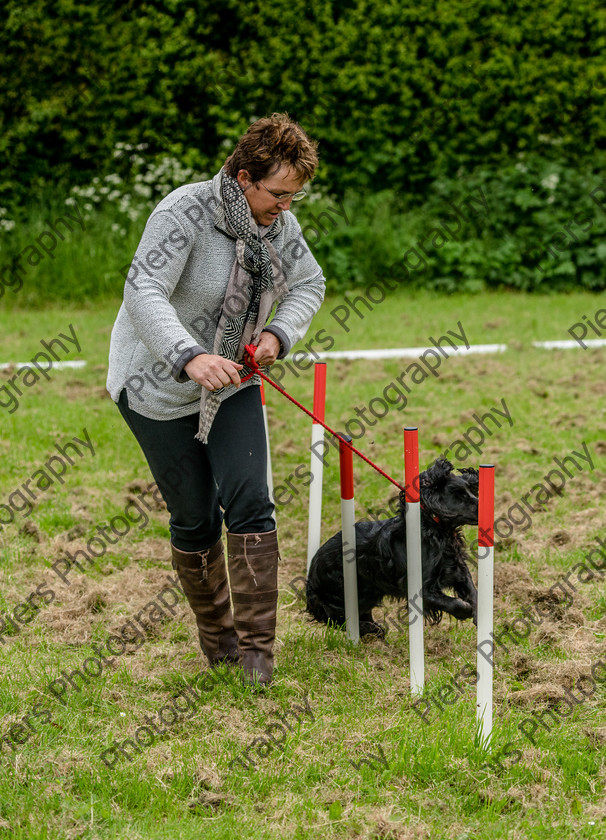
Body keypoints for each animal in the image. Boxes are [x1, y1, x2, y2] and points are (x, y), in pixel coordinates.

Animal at [306, 460, 482, 636]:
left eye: (470, 491)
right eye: (458, 495)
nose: (484, 506)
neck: (433, 531)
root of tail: (310, 574)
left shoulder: (457, 568)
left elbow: (473, 592)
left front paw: (479, 615)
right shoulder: (418, 588)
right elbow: (454, 603)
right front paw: (466, 610)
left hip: (367, 594)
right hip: (339, 595)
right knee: (336, 619)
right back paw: (370, 628)